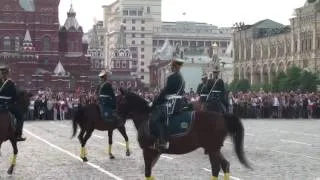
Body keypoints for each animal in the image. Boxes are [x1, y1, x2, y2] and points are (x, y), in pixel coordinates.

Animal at [117, 89, 252, 179]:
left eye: (120, 101)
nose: (116, 118)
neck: (146, 118)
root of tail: (222, 116)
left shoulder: (147, 151)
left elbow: (147, 173)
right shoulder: (154, 152)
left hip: (213, 148)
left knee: (216, 168)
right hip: (214, 148)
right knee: (225, 165)